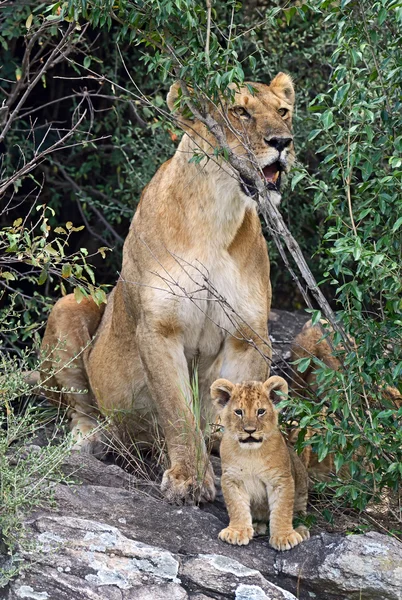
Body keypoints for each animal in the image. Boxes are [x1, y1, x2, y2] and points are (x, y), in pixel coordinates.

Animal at [40, 74, 296, 502]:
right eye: (239, 111)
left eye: (283, 112)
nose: (282, 142)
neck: (217, 214)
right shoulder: (159, 329)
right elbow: (177, 410)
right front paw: (188, 479)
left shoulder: (249, 335)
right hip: (70, 305)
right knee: (82, 408)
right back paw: (91, 439)